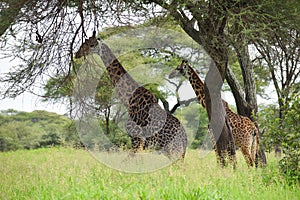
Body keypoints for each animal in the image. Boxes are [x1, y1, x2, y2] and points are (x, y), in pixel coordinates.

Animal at [75, 32, 188, 162]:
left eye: (91, 44)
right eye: (83, 43)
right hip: (172, 152)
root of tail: (185, 139)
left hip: (173, 150)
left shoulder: (136, 138)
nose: (77, 54)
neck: (128, 99)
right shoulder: (140, 142)